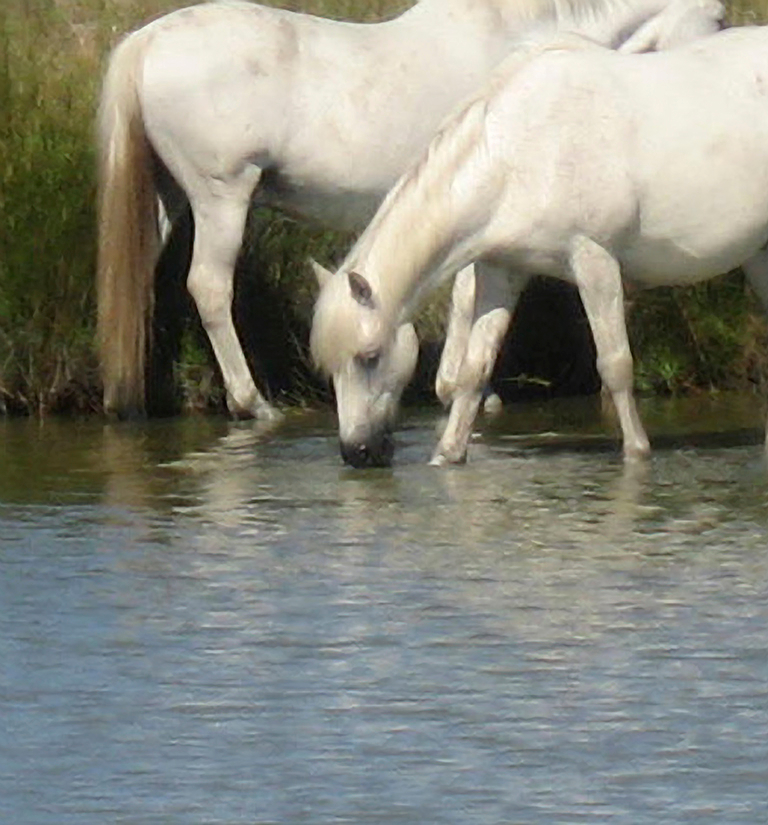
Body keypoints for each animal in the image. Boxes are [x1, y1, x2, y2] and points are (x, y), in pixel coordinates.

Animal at [97, 0, 728, 418]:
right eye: (720, 20)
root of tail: (148, 40)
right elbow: (467, 297)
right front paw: (464, 391)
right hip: (221, 196)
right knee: (207, 286)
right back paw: (253, 405)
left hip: (168, 199)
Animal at [308, 25, 768, 466]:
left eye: (370, 356)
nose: (357, 453)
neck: (518, 153)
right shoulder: (501, 270)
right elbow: (473, 369)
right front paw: (447, 455)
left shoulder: (594, 259)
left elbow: (614, 364)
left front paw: (637, 452)